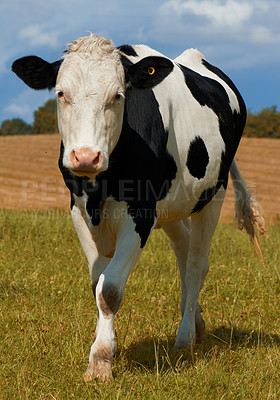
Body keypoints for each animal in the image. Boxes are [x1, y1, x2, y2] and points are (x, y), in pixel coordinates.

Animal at [11, 33, 264, 382]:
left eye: (118, 95)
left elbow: (109, 289)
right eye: (61, 94)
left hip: (214, 194)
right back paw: (196, 322)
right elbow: (97, 282)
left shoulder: (140, 216)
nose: (86, 157)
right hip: (172, 205)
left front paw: (100, 362)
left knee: (197, 264)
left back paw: (185, 338)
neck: (101, 184)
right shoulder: (79, 212)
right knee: (184, 253)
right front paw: (102, 350)